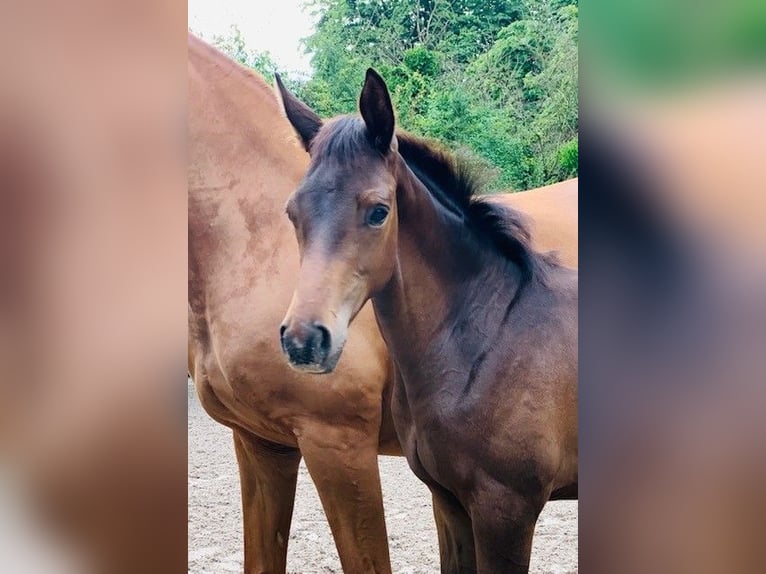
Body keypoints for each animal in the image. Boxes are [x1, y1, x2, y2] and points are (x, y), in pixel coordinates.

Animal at [189, 33, 580, 572]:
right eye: (291, 212)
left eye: (378, 211)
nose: (304, 340)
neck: (492, 332)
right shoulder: (267, 445)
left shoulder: (501, 507)